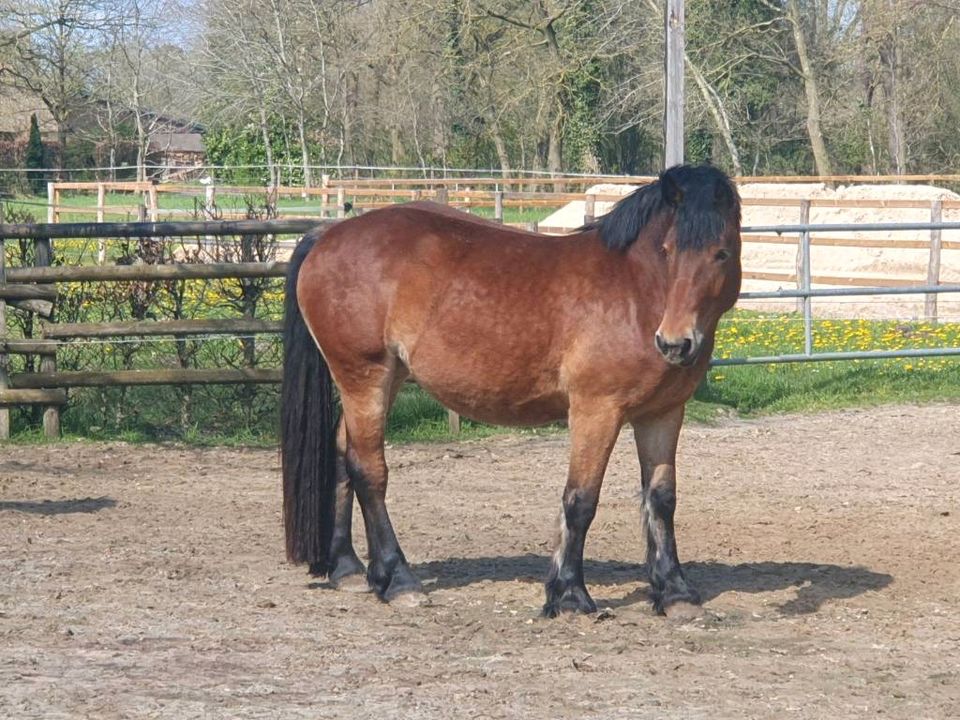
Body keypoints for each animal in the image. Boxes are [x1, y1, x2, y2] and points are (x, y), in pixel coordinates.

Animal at [278, 165, 744, 620]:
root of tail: (330, 234)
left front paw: (675, 592)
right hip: (365, 376)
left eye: (721, 253)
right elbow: (580, 499)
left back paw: (349, 570)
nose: (675, 343)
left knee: (343, 455)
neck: (636, 291)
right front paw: (569, 594)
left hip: (383, 380)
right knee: (368, 470)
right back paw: (399, 580)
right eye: (668, 250)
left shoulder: (662, 413)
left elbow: (661, 499)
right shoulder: (596, 411)